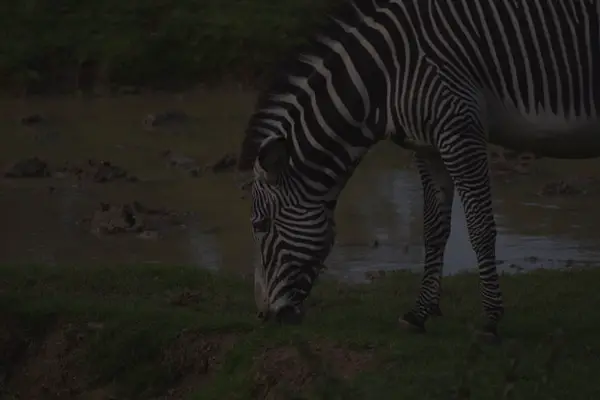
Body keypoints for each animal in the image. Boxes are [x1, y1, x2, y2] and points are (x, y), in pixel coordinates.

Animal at [237, 0, 600, 338]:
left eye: (260, 225)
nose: (264, 316)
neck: (385, 79)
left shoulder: (460, 131)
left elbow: (480, 227)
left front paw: (490, 320)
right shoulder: (428, 146)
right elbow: (433, 228)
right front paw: (419, 313)